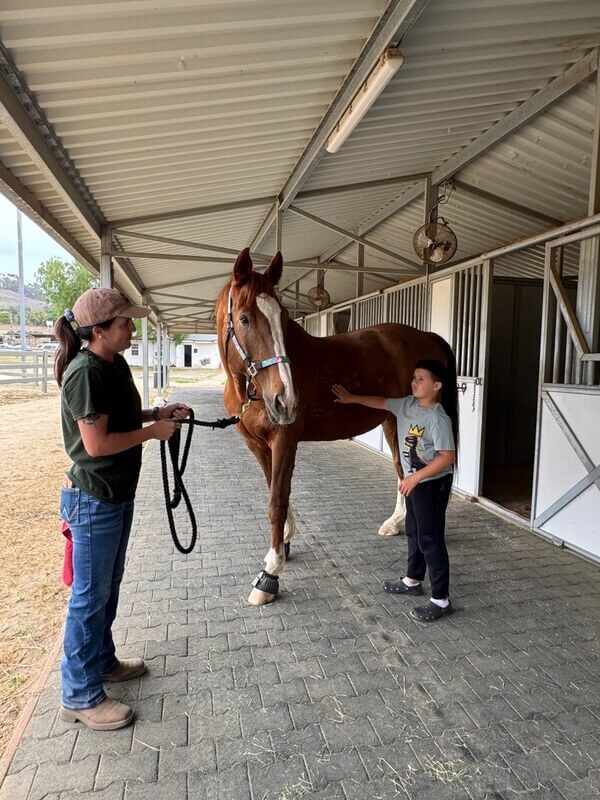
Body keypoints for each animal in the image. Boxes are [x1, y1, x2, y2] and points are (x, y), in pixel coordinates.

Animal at [216, 248, 458, 605]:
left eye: (283, 318)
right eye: (244, 318)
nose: (286, 401)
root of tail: (425, 336)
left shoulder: (284, 439)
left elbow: (276, 499)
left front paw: (270, 573)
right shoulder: (255, 443)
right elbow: (274, 489)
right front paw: (285, 540)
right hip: (394, 420)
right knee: (402, 470)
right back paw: (395, 523)